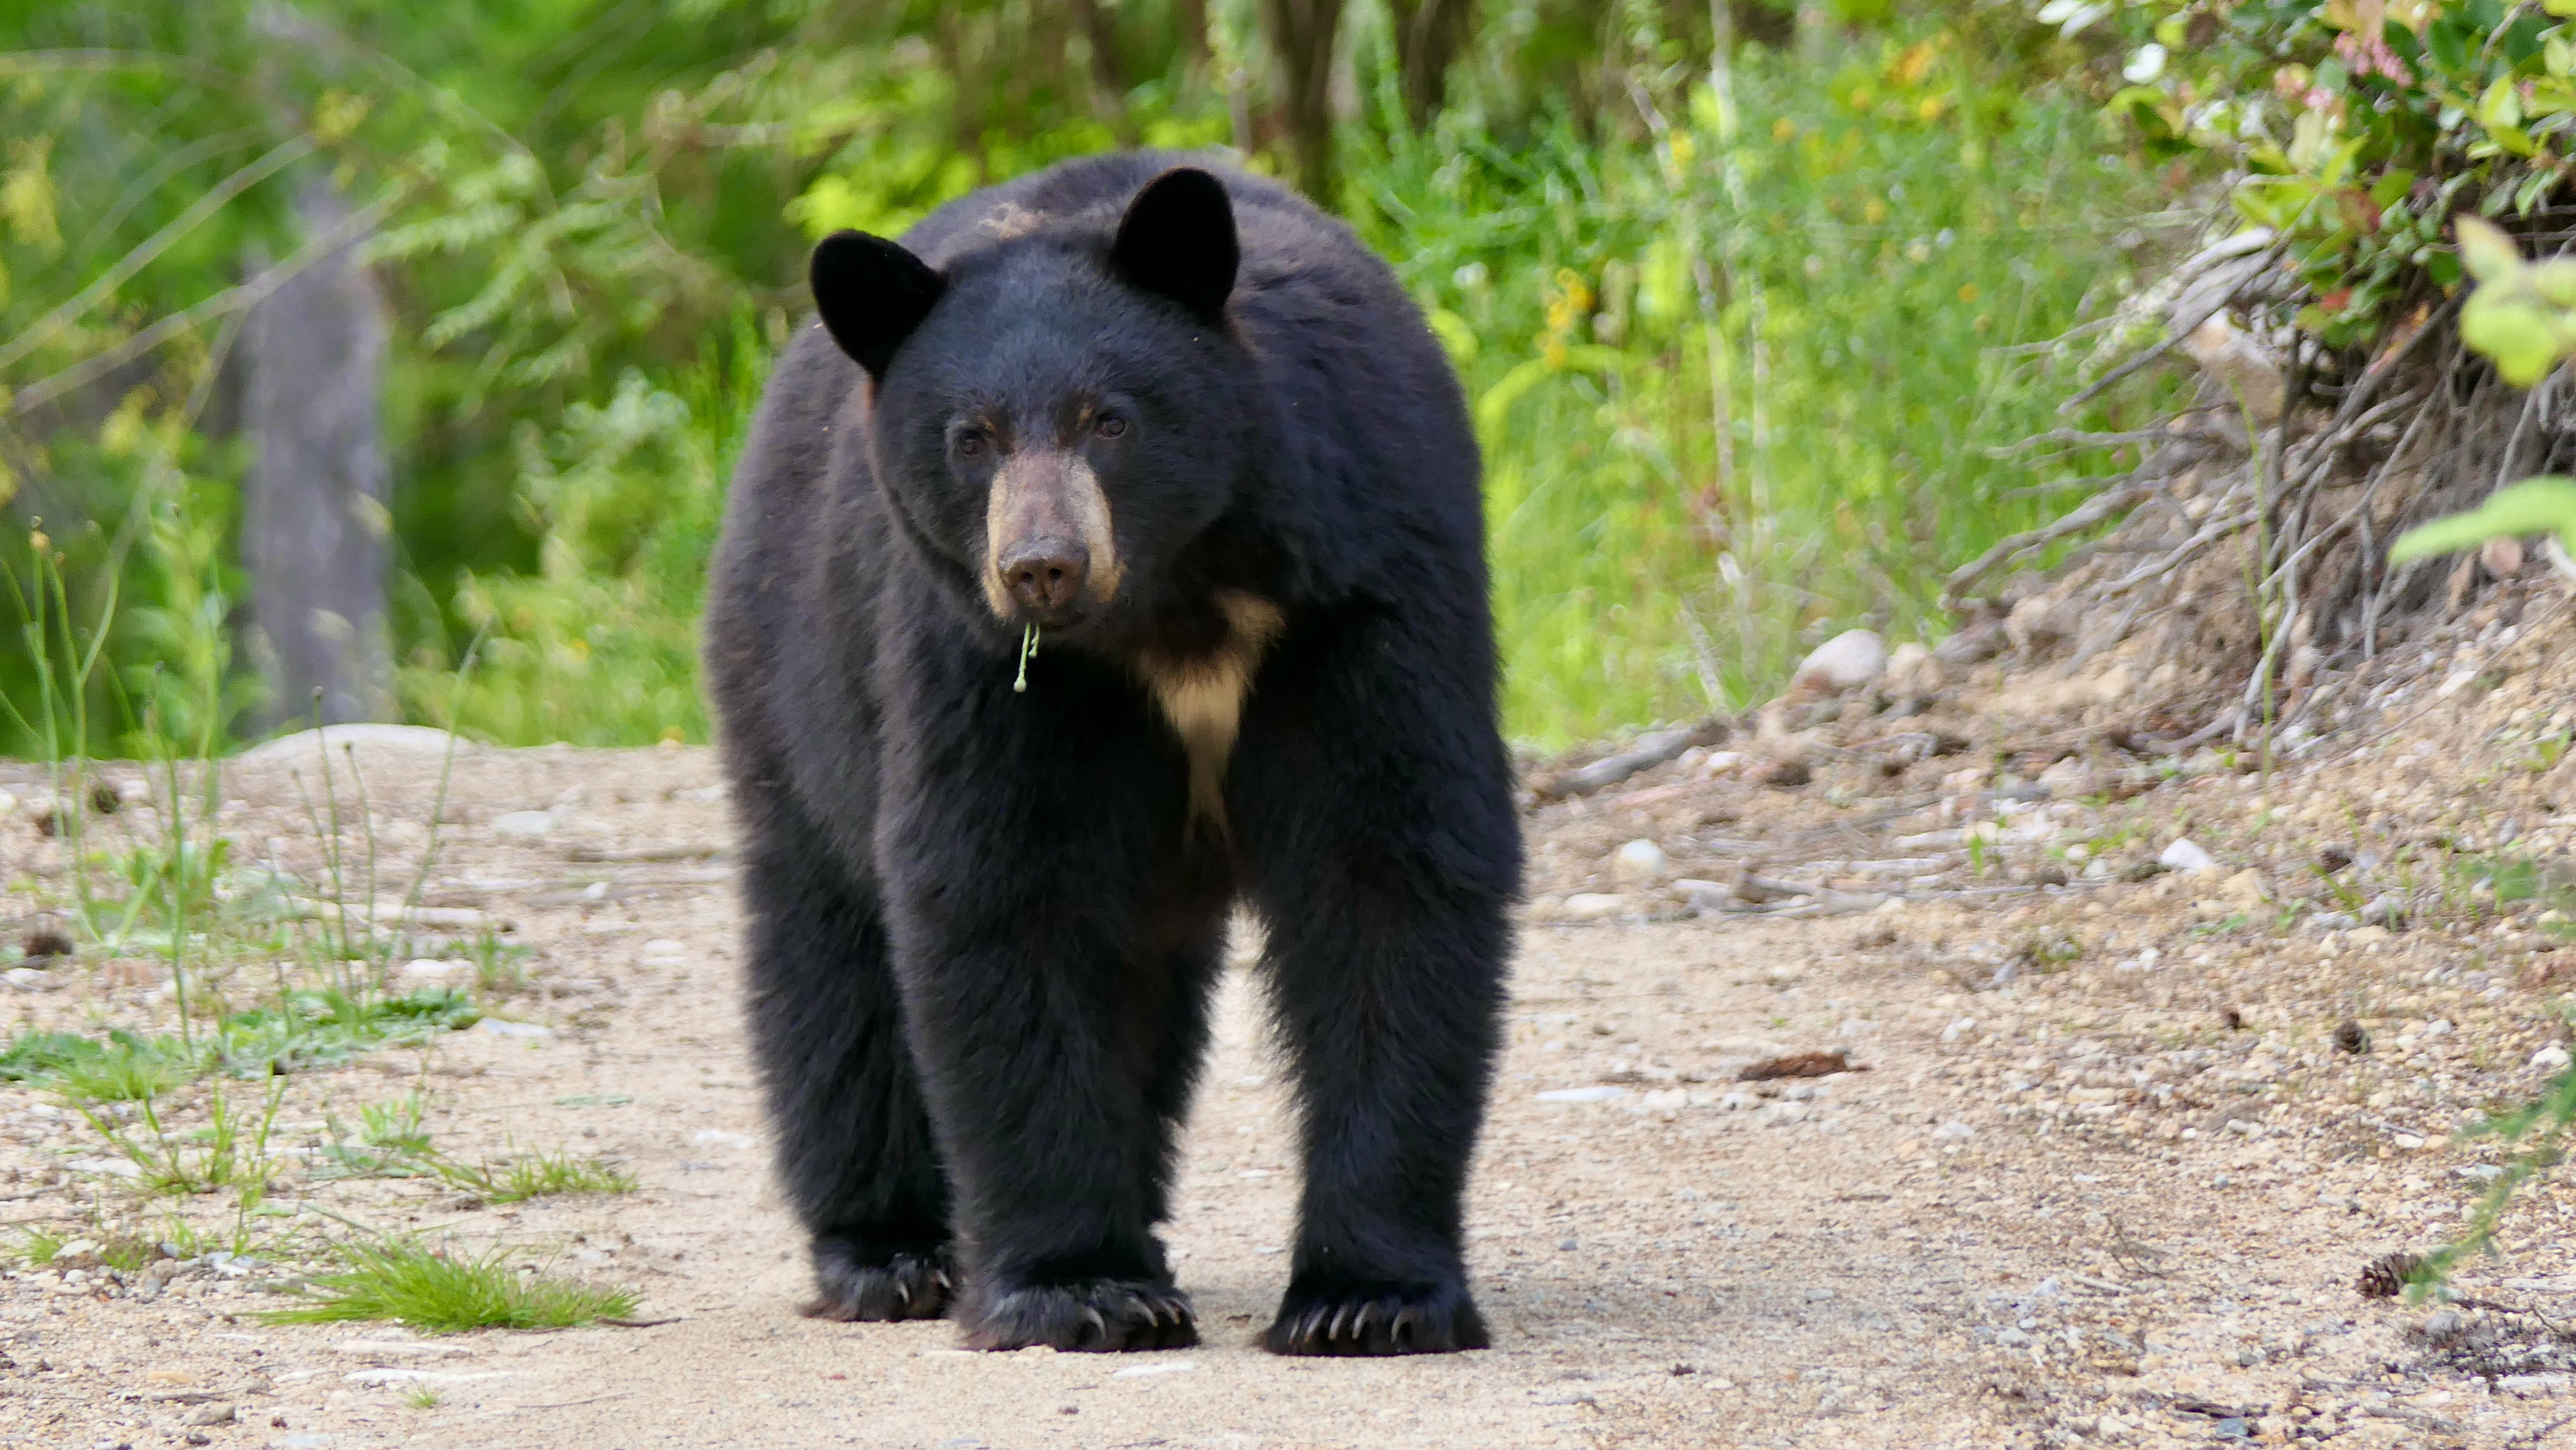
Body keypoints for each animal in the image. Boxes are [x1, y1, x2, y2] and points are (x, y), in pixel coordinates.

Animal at [701, 152, 1520, 1356]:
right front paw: (1079, 1288)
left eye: (1110, 420)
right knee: (830, 961)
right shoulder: (991, 664)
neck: (1176, 601)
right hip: (794, 675)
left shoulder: (1364, 588)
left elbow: (1389, 867)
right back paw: (888, 1252)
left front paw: (1367, 1297)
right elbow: (1006, 889)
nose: (1042, 565)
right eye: (971, 436)